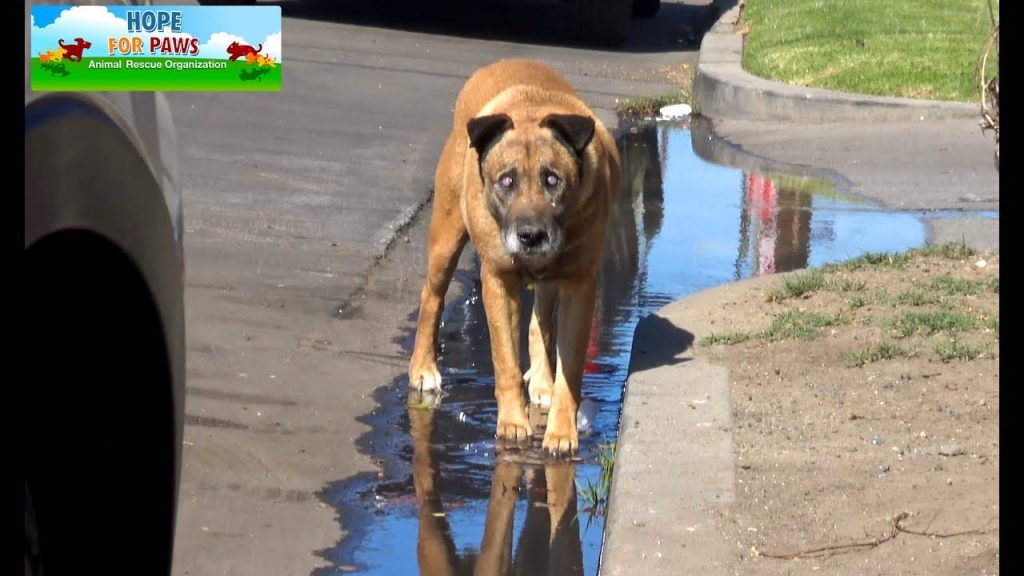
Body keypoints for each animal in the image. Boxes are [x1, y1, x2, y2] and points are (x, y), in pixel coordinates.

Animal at [409, 59, 618, 453]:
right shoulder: (497, 280)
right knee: (432, 296)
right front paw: (511, 423)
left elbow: (570, 370)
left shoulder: (580, 285)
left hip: (551, 280)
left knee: (540, 324)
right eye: (506, 181)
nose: (531, 236)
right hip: (447, 232)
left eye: (553, 180)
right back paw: (423, 367)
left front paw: (561, 431)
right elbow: (504, 360)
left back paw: (541, 382)